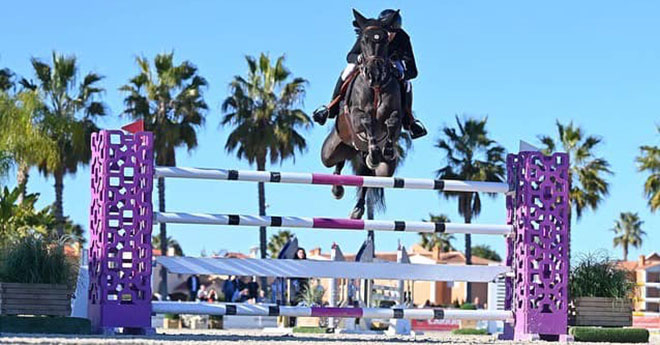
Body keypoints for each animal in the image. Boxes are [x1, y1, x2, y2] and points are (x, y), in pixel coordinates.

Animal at [320, 10, 402, 219]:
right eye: (363, 40)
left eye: (385, 40)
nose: (375, 72)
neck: (376, 87)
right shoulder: (356, 117)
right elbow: (366, 119)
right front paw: (374, 150)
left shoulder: (395, 116)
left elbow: (392, 121)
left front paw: (385, 150)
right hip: (331, 151)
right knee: (336, 163)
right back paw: (337, 188)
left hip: (383, 171)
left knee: (368, 178)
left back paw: (358, 208)